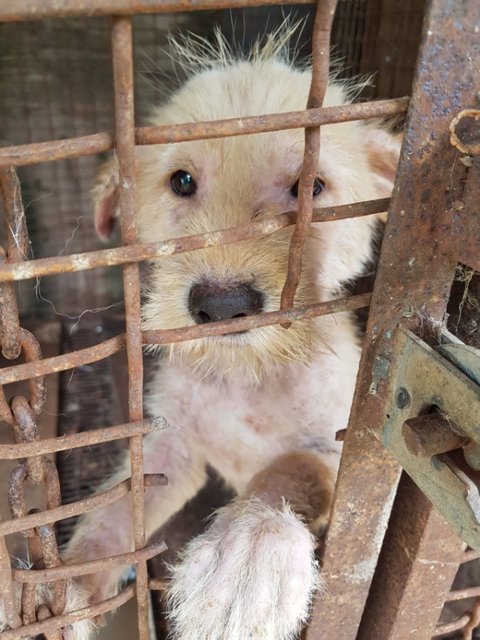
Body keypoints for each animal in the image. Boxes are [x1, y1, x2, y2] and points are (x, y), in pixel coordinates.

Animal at [1, 26, 401, 640]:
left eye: (311, 186)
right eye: (182, 181)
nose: (222, 305)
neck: (248, 376)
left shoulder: (345, 455)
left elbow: (292, 471)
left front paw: (251, 552)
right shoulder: (173, 446)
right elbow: (115, 511)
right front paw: (67, 582)